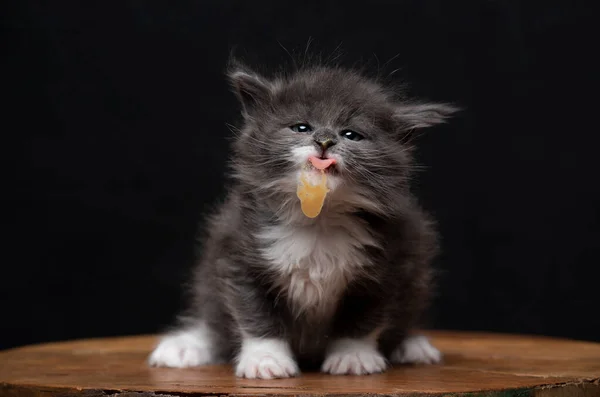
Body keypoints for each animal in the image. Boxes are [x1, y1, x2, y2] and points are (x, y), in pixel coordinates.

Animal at [148, 56, 458, 378]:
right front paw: (265, 359)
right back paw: (184, 347)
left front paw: (353, 356)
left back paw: (412, 346)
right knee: (214, 324)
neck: (318, 220)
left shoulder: (390, 265)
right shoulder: (237, 255)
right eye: (301, 127)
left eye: (351, 134)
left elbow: (363, 319)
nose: (324, 140)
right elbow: (255, 314)